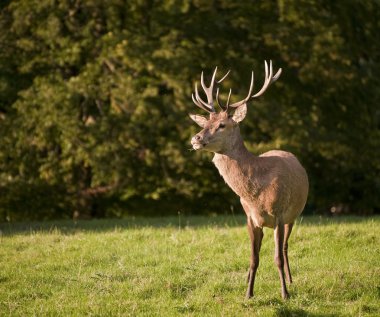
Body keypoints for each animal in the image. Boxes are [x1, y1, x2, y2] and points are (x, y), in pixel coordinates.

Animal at [190, 61, 308, 298]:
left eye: (222, 125)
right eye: (205, 123)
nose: (195, 138)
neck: (256, 194)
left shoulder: (279, 214)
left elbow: (277, 257)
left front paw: (284, 294)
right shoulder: (249, 217)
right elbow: (254, 257)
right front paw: (248, 293)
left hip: (294, 215)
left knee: (285, 248)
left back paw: (290, 280)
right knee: (261, 249)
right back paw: (247, 280)